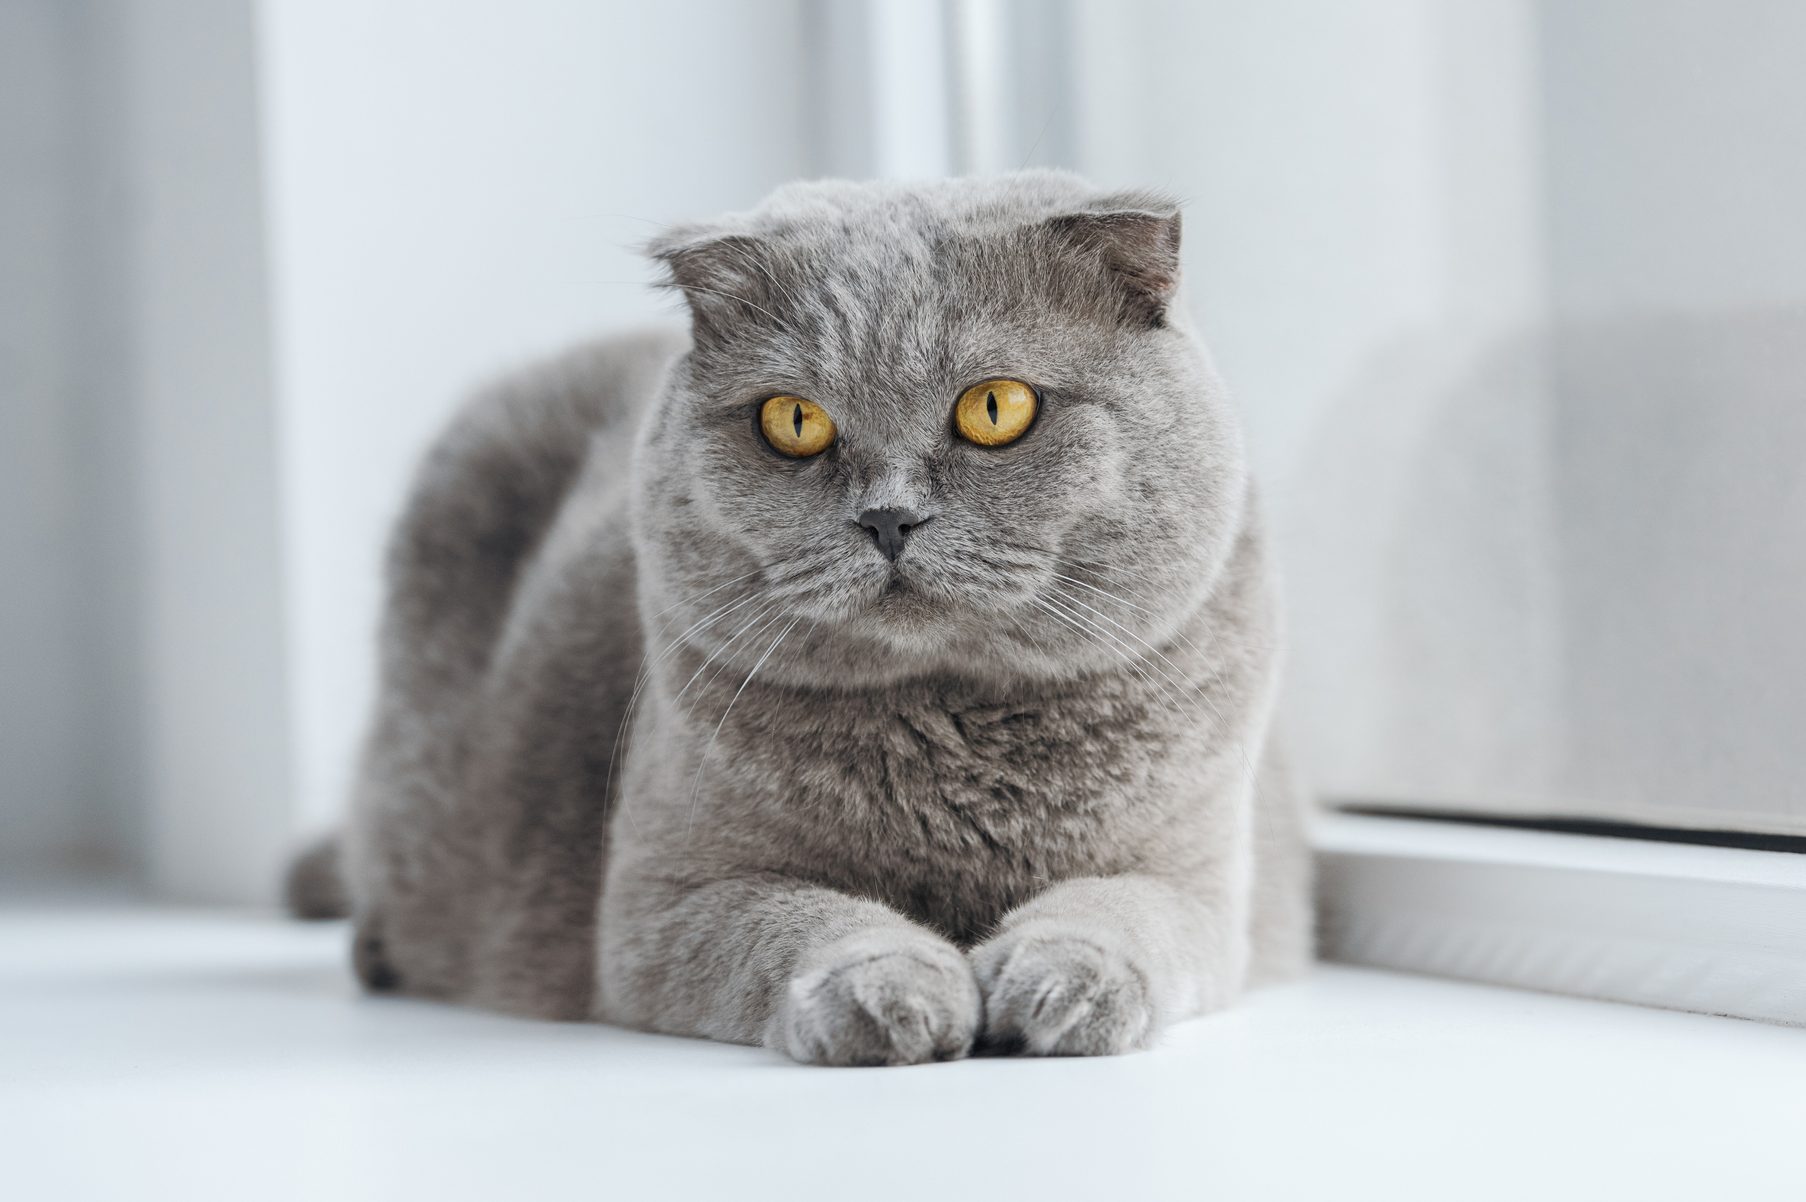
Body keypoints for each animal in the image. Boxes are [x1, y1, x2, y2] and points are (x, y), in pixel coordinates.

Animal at [292, 170, 1314, 1068]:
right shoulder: (663, 905)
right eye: (793, 421)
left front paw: (1059, 985)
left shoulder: (1197, 879)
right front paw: (893, 990)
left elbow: (1118, 909)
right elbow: (802, 920)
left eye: (996, 408)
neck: (955, 741)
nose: (888, 518)